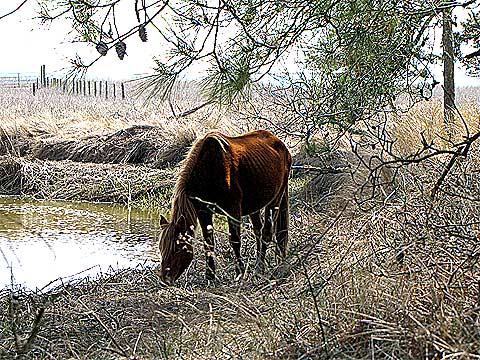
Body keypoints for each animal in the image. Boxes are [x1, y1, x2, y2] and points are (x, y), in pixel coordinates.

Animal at [159, 130, 290, 284]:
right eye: (161, 248)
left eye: (177, 248)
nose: (165, 278)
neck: (209, 169)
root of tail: (282, 146)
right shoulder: (203, 211)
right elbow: (208, 242)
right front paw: (210, 276)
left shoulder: (233, 209)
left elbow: (235, 240)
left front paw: (239, 272)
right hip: (255, 207)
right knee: (258, 231)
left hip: (275, 200)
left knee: (266, 233)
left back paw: (260, 268)